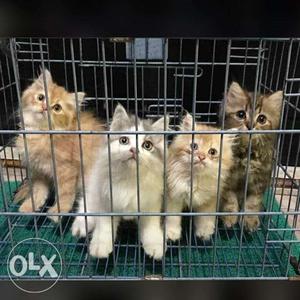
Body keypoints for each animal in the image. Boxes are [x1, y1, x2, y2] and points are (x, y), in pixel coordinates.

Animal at [14, 69, 105, 221]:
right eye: (41, 97)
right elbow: (38, 191)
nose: (44, 107)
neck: (40, 134)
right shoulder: (39, 171)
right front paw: (29, 206)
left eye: (57, 108)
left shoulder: (67, 170)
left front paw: (58, 211)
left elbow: (65, 194)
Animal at [71, 103, 168, 260]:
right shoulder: (106, 201)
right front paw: (100, 246)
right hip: (94, 185)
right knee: (86, 203)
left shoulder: (151, 203)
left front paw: (155, 245)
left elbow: (151, 227)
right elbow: (104, 227)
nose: (134, 150)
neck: (130, 180)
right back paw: (80, 226)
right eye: (124, 140)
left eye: (147, 145)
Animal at [166, 113, 234, 243]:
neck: (195, 179)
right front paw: (171, 233)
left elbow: (205, 219)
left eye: (212, 152)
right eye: (194, 146)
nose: (201, 157)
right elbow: (172, 218)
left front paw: (204, 233)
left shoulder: (210, 199)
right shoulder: (174, 197)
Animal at [220, 81, 284, 231]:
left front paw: (250, 220)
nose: (250, 125)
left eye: (262, 119)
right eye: (241, 114)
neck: (247, 154)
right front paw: (229, 217)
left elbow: (253, 203)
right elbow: (229, 199)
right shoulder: (228, 180)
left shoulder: (260, 181)